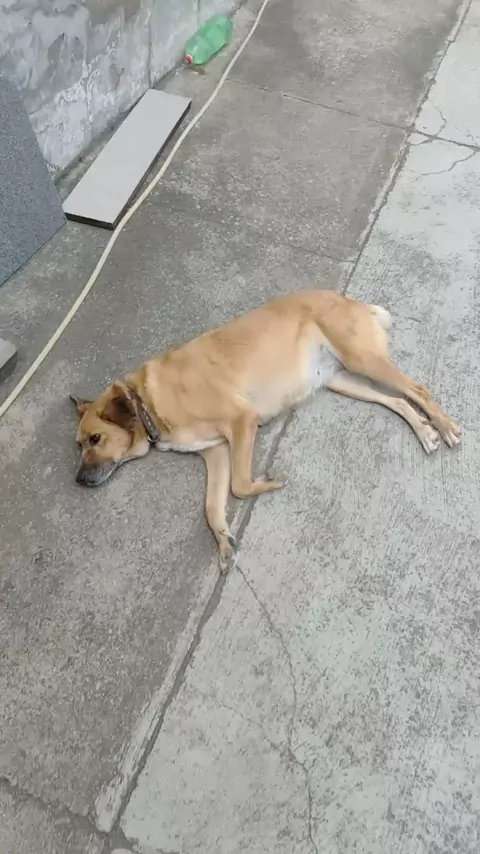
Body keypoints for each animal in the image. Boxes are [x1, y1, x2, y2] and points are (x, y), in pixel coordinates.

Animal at [71, 290, 460, 571]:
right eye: (78, 445)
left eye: (95, 439)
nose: (78, 480)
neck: (147, 401)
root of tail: (349, 299)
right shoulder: (216, 452)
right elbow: (211, 507)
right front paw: (223, 541)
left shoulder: (241, 421)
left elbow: (240, 486)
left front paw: (270, 482)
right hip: (343, 380)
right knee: (397, 401)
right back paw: (424, 432)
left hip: (363, 360)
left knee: (418, 389)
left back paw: (445, 427)